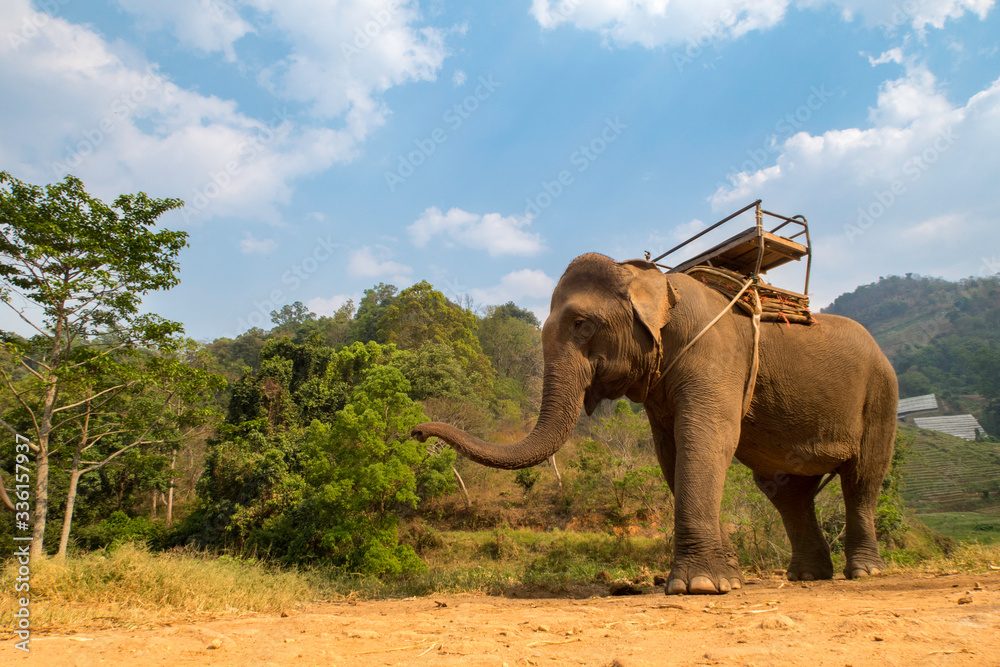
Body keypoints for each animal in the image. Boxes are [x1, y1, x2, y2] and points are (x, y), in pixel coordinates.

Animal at [412, 253, 898, 595]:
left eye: (582, 325)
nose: (416, 432)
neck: (647, 278)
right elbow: (672, 454)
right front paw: (727, 580)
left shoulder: (715, 354)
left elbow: (707, 439)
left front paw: (698, 586)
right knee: (787, 493)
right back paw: (808, 577)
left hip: (882, 396)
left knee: (862, 478)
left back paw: (865, 573)